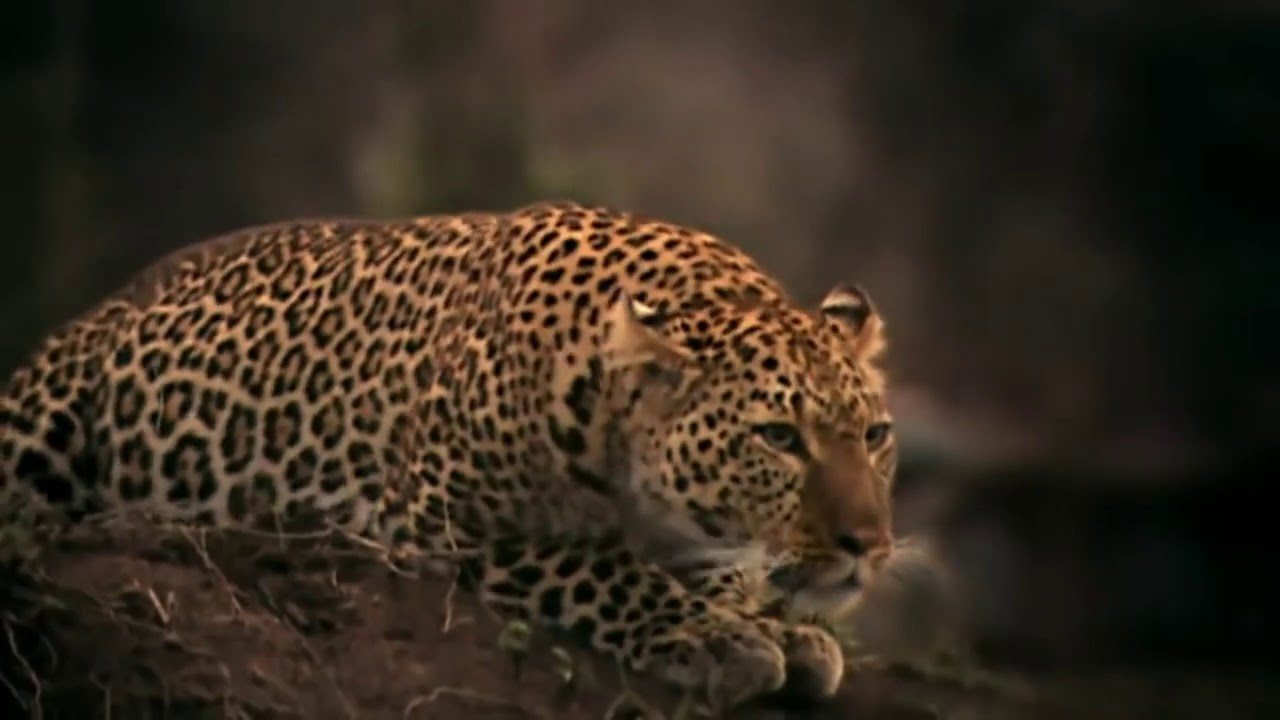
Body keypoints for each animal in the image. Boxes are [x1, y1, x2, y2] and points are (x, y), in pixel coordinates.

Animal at [0, 200, 899, 709]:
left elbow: (721, 574)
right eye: (779, 438)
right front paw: (718, 637)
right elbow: (602, 569)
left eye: (876, 435)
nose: (869, 546)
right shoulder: (447, 522)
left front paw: (777, 628)